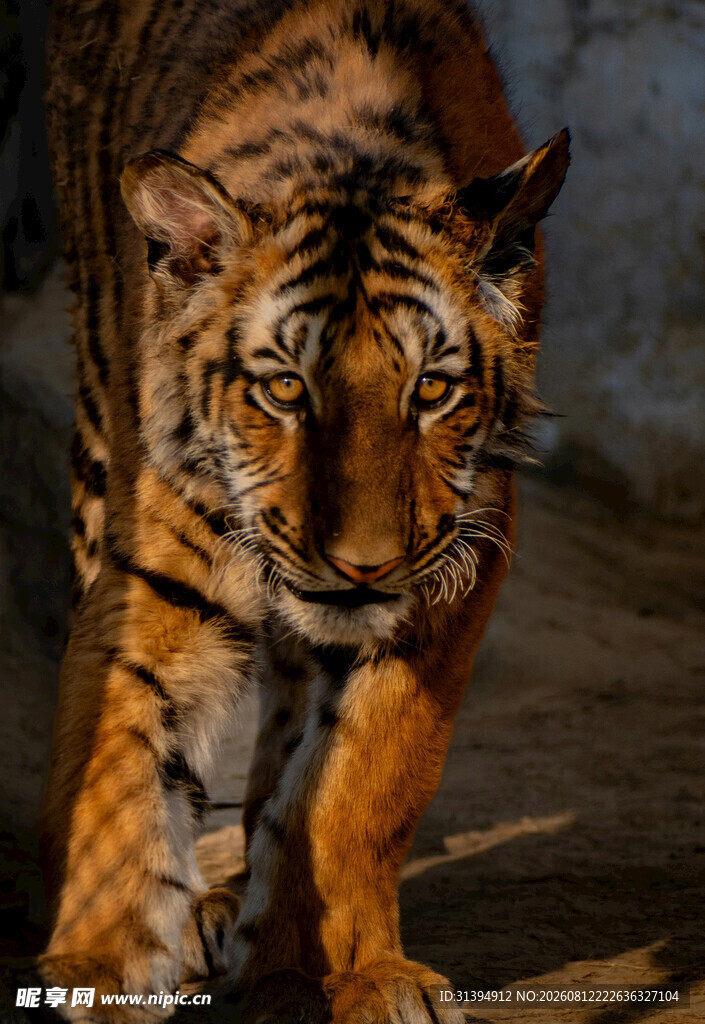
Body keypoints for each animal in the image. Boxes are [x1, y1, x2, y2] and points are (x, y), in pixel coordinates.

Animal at [39, 0, 569, 1021]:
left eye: (431, 390)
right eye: (285, 387)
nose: (362, 564)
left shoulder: (453, 572)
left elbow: (355, 785)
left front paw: (332, 972)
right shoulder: (152, 581)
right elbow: (116, 760)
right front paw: (97, 964)